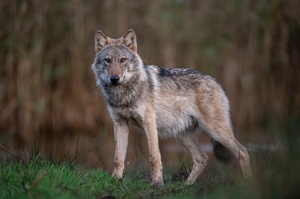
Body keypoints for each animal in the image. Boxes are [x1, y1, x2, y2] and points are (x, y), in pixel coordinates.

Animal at [91, 29, 251, 187]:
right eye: (108, 60)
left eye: (122, 60)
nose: (114, 78)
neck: (123, 95)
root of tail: (215, 81)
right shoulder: (120, 124)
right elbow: (118, 157)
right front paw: (115, 180)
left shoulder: (149, 123)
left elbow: (154, 157)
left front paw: (157, 183)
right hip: (183, 135)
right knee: (202, 158)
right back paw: (186, 185)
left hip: (216, 131)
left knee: (243, 152)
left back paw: (247, 185)